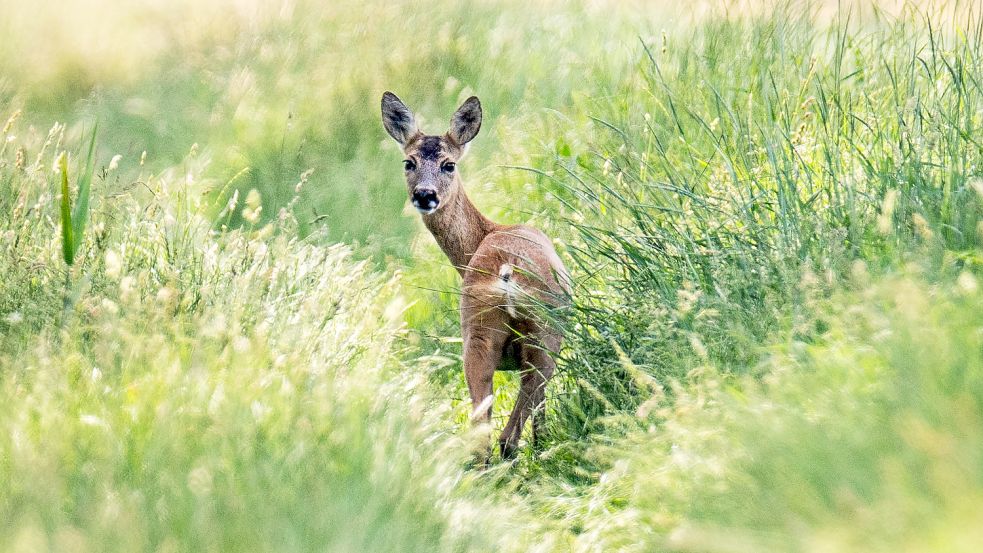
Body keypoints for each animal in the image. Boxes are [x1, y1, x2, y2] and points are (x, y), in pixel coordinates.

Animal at [380, 91, 572, 462]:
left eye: (448, 164)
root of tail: (507, 271)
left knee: (481, 433)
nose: (425, 195)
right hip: (538, 332)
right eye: (409, 162)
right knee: (508, 431)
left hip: (479, 335)